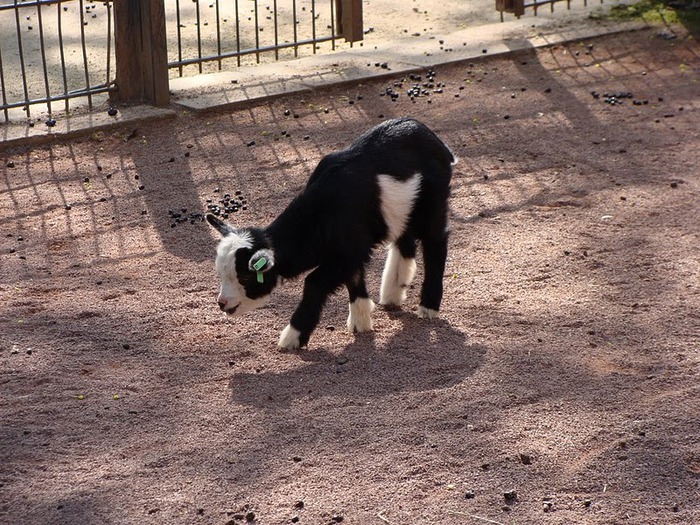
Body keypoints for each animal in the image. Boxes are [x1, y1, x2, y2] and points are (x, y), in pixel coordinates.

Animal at [205, 116, 456, 350]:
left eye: (246, 277)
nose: (222, 303)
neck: (321, 214)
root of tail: (430, 136)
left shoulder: (351, 247)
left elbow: (314, 282)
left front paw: (293, 337)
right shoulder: (350, 249)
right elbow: (354, 277)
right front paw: (361, 321)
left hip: (434, 201)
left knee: (436, 241)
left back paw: (428, 306)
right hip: (402, 208)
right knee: (404, 238)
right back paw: (393, 292)